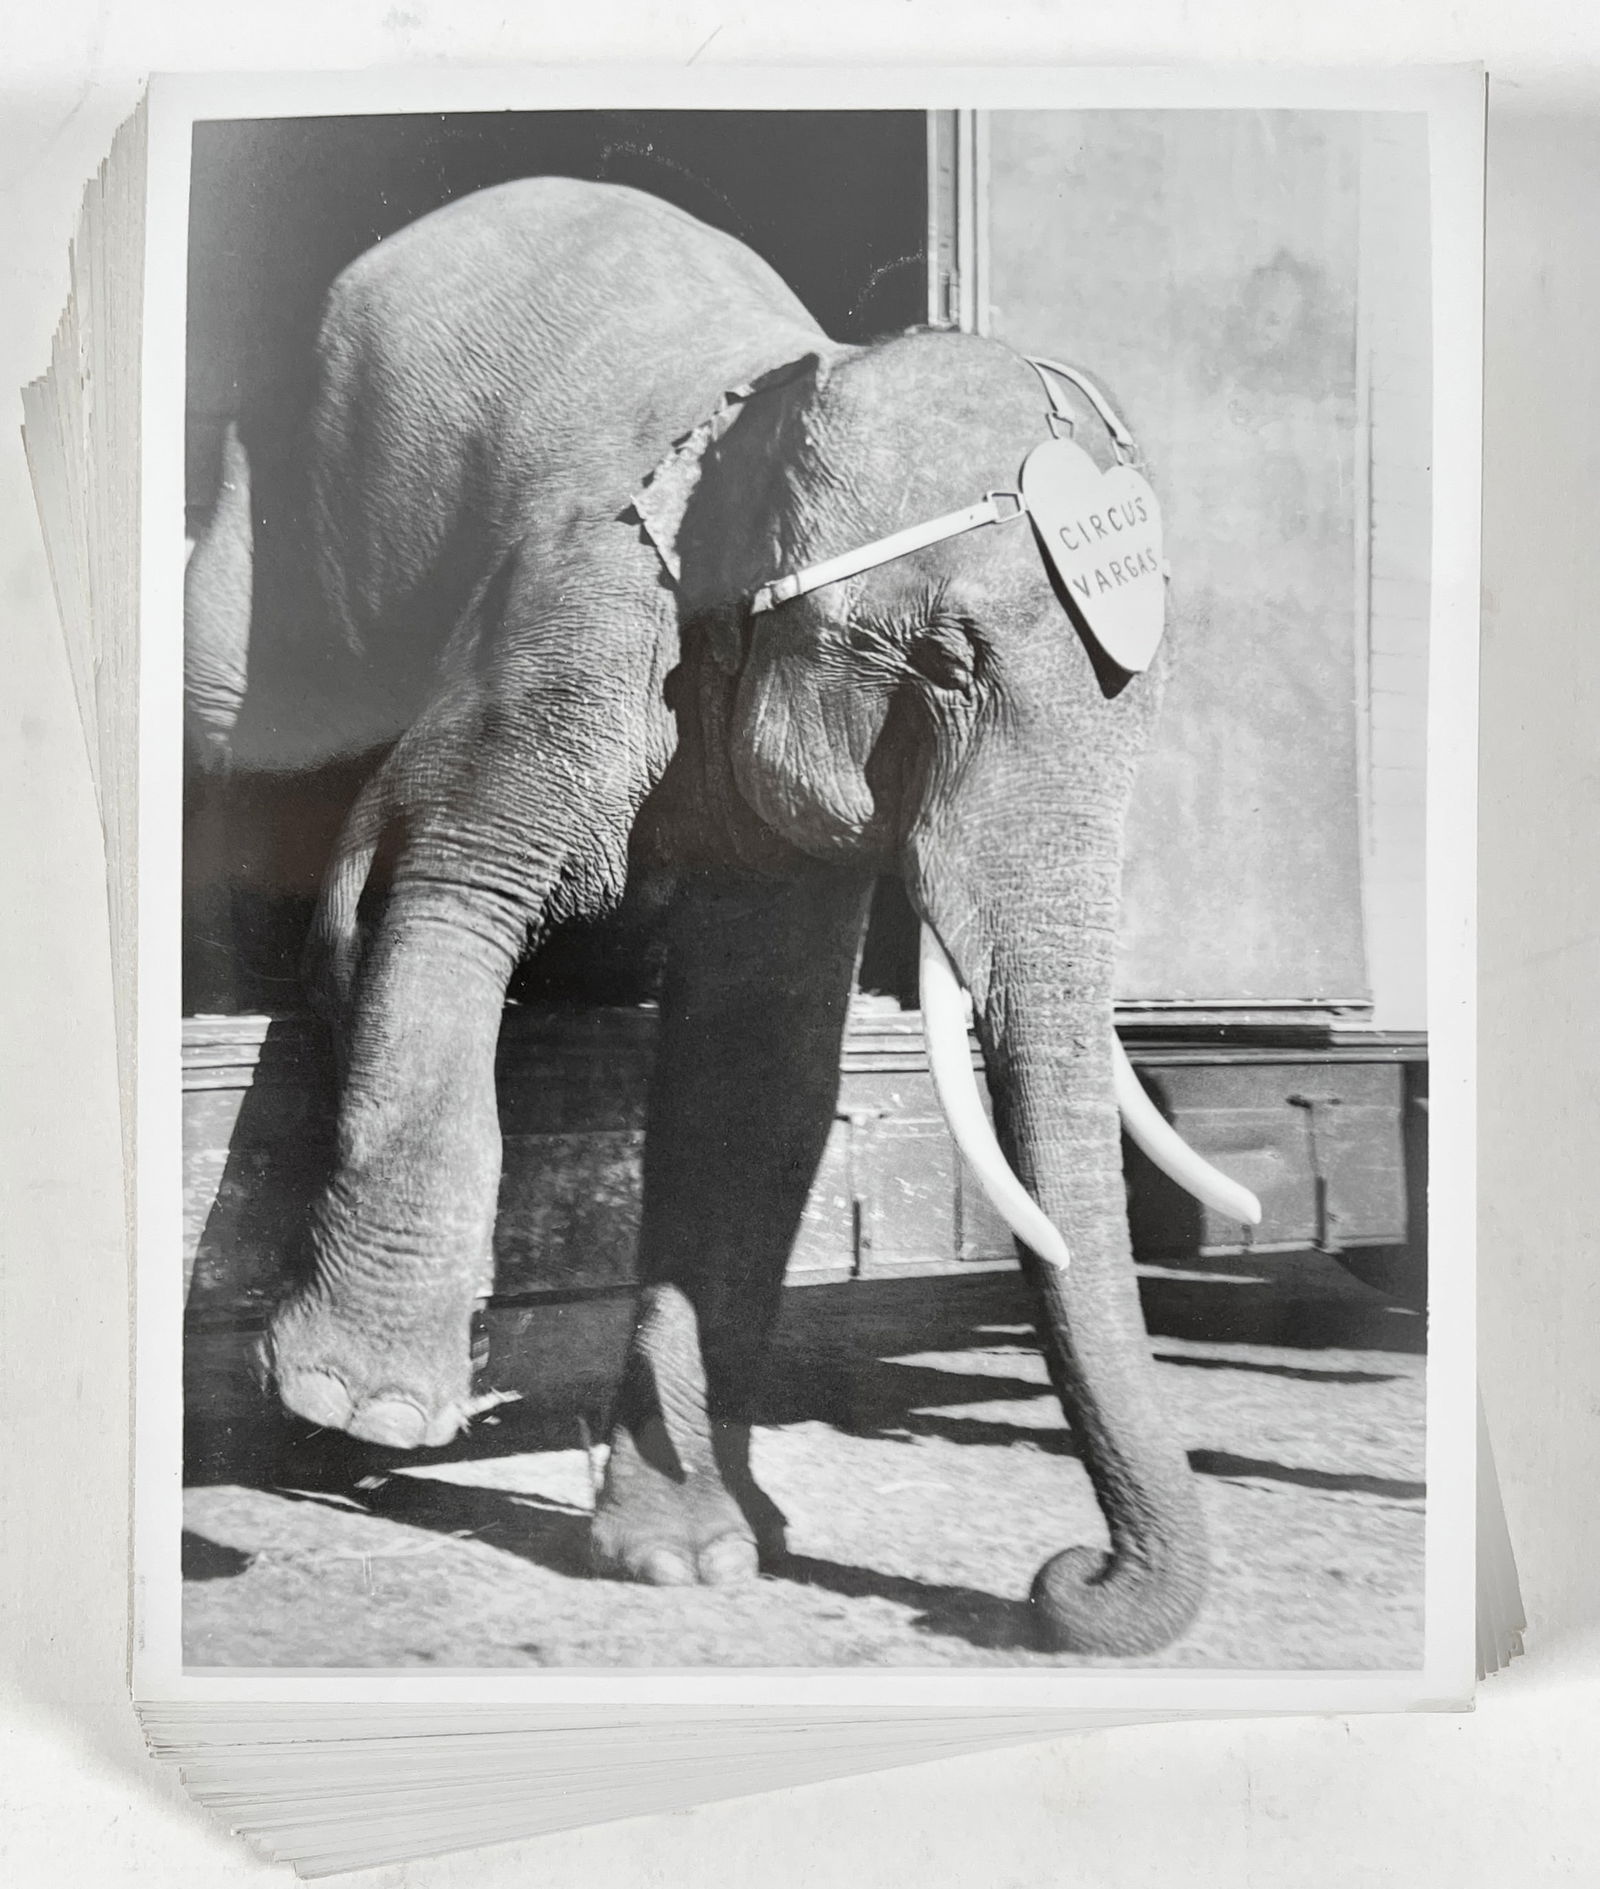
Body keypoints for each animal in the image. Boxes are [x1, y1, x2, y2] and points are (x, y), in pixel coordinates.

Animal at [184, 174, 1261, 1657]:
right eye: (945, 664)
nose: (1063, 1579)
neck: (779, 390)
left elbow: (757, 1062)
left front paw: (687, 1561)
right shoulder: (572, 605)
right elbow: (446, 878)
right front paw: (364, 1408)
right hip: (267, 501)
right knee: (219, 704)